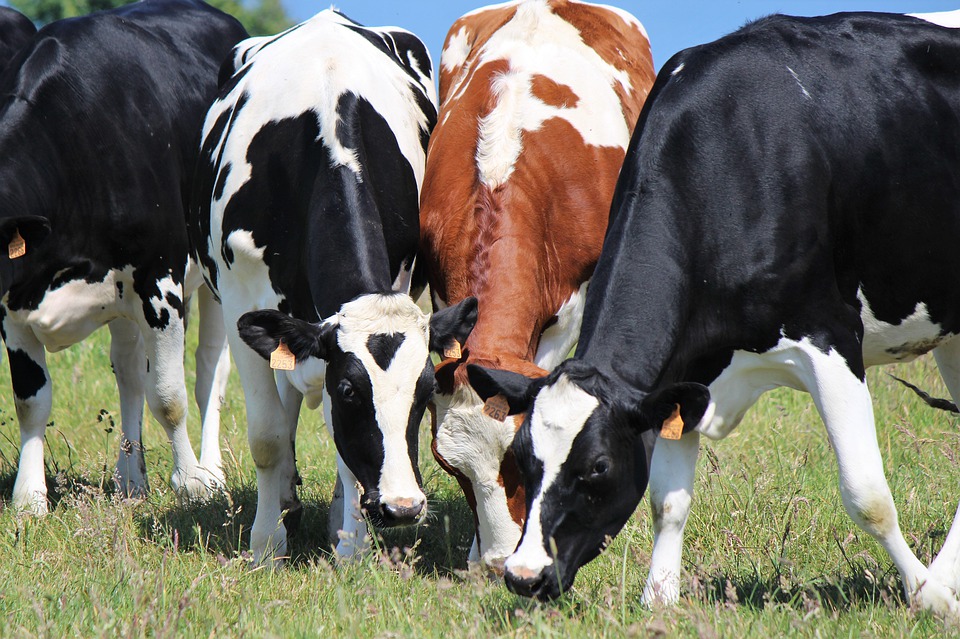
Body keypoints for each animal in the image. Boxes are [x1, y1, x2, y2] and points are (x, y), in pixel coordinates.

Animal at [0, 0, 246, 513]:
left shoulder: (160, 281)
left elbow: (169, 396)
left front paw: (191, 483)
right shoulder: (14, 299)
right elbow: (30, 400)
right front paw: (30, 499)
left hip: (214, 277)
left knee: (209, 371)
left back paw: (211, 471)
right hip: (118, 299)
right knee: (129, 371)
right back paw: (131, 480)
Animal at [189, 9, 478, 565]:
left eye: (427, 390)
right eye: (350, 390)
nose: (403, 508)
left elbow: (337, 444)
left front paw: (350, 545)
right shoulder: (240, 303)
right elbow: (268, 436)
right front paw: (266, 543)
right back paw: (285, 500)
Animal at [468, 11, 960, 619]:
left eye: (598, 468)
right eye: (520, 457)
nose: (522, 576)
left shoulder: (829, 335)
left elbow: (867, 495)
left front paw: (930, 596)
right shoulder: (684, 375)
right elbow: (667, 501)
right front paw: (659, 602)